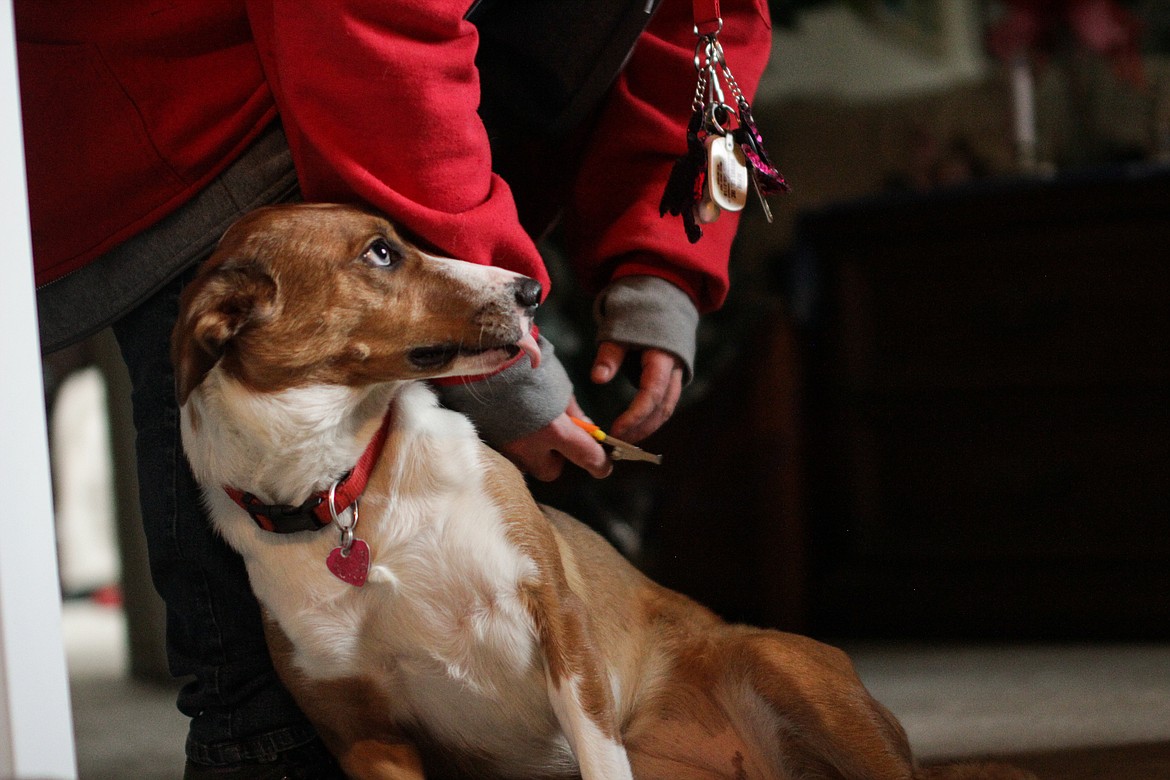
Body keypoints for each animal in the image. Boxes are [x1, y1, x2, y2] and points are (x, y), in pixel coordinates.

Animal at [170, 204, 1034, 776]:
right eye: (381, 253)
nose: (530, 291)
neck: (350, 492)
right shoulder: (361, 729)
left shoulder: (557, 621)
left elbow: (596, 752)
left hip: (779, 662)